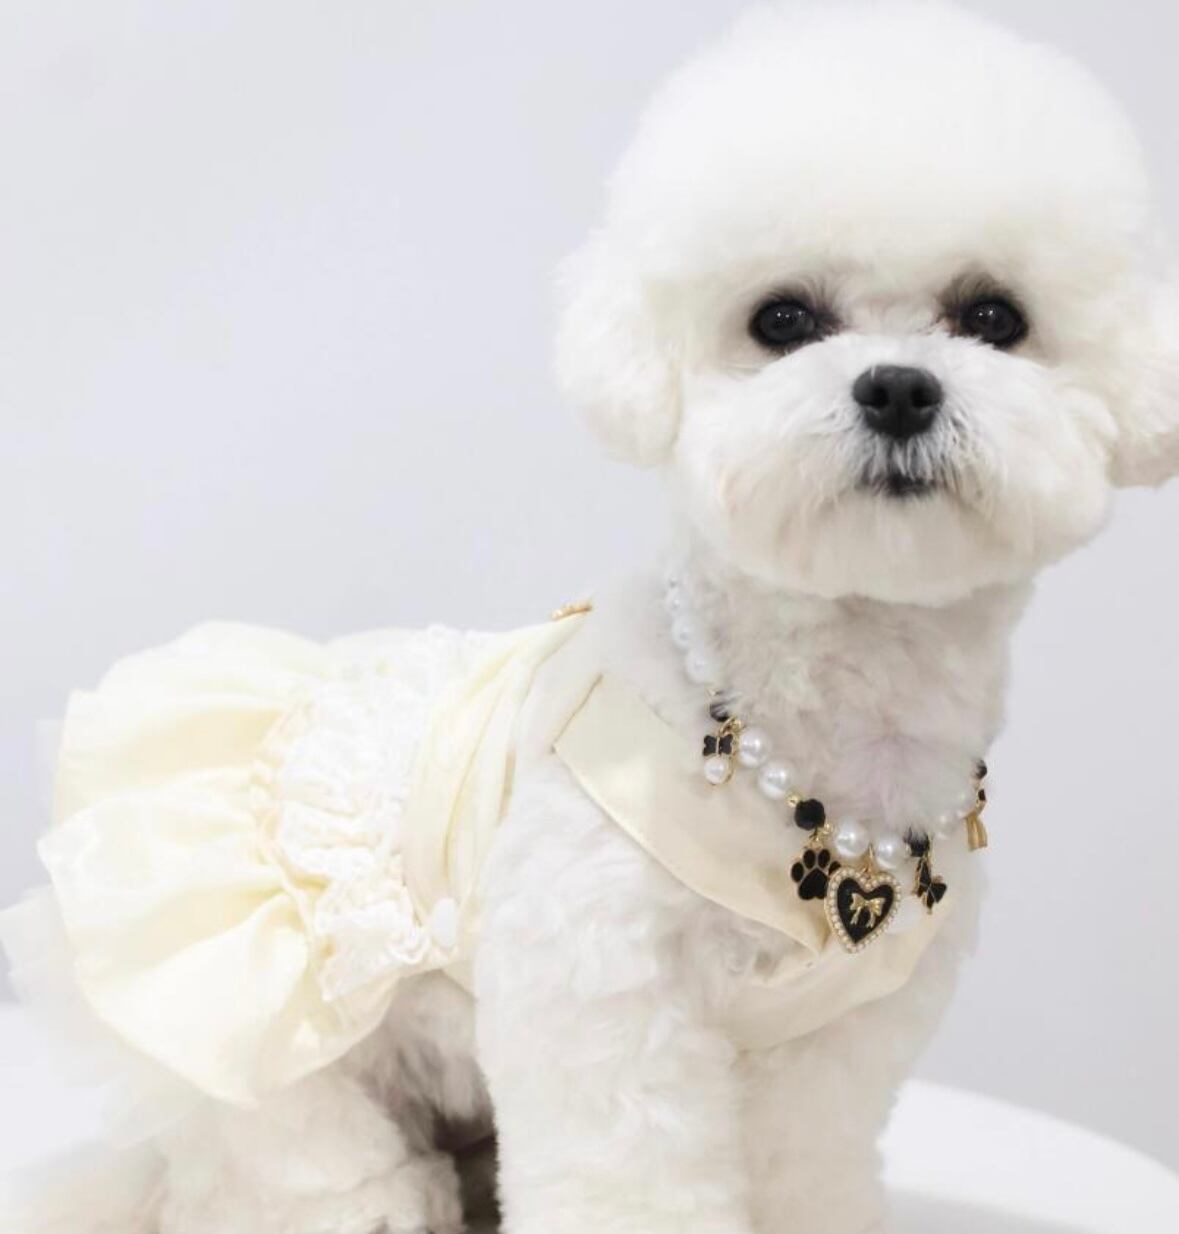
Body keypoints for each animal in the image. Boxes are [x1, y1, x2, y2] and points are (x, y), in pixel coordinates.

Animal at [4, 3, 1178, 1233]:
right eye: (782, 318)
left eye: (995, 317)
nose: (898, 386)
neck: (814, 732)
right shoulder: (608, 1002)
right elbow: (630, 1175)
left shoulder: (838, 1045)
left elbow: (806, 1163)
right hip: (253, 1023)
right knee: (292, 1155)